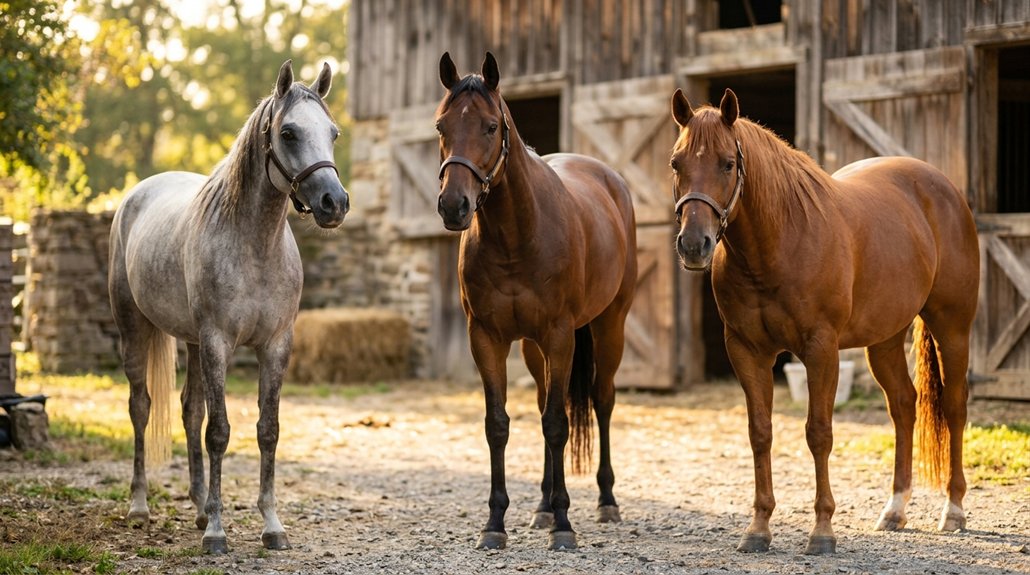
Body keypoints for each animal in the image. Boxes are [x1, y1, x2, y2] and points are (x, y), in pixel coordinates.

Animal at [108, 59, 349, 554]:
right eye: (289, 133)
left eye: (333, 133)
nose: (334, 203)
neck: (255, 246)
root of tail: (136, 195)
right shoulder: (219, 343)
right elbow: (218, 432)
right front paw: (218, 533)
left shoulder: (275, 345)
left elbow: (266, 430)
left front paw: (271, 526)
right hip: (135, 329)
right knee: (141, 407)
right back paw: (140, 507)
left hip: (193, 343)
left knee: (188, 410)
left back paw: (200, 507)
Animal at [435, 52, 638, 551]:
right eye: (441, 126)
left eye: (491, 126)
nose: (453, 206)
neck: (517, 236)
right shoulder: (486, 338)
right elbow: (499, 424)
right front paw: (495, 523)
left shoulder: (561, 335)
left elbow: (557, 424)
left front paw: (565, 525)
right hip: (533, 347)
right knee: (549, 399)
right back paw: (543, 506)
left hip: (609, 326)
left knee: (602, 401)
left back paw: (606, 501)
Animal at [667, 88, 979, 554]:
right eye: (676, 162)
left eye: (727, 162)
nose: (693, 245)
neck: (779, 242)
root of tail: (945, 189)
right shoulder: (747, 350)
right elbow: (760, 433)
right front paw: (758, 529)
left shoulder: (820, 350)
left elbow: (819, 433)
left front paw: (822, 532)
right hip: (885, 340)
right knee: (904, 405)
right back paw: (895, 510)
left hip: (952, 328)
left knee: (955, 407)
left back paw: (954, 511)